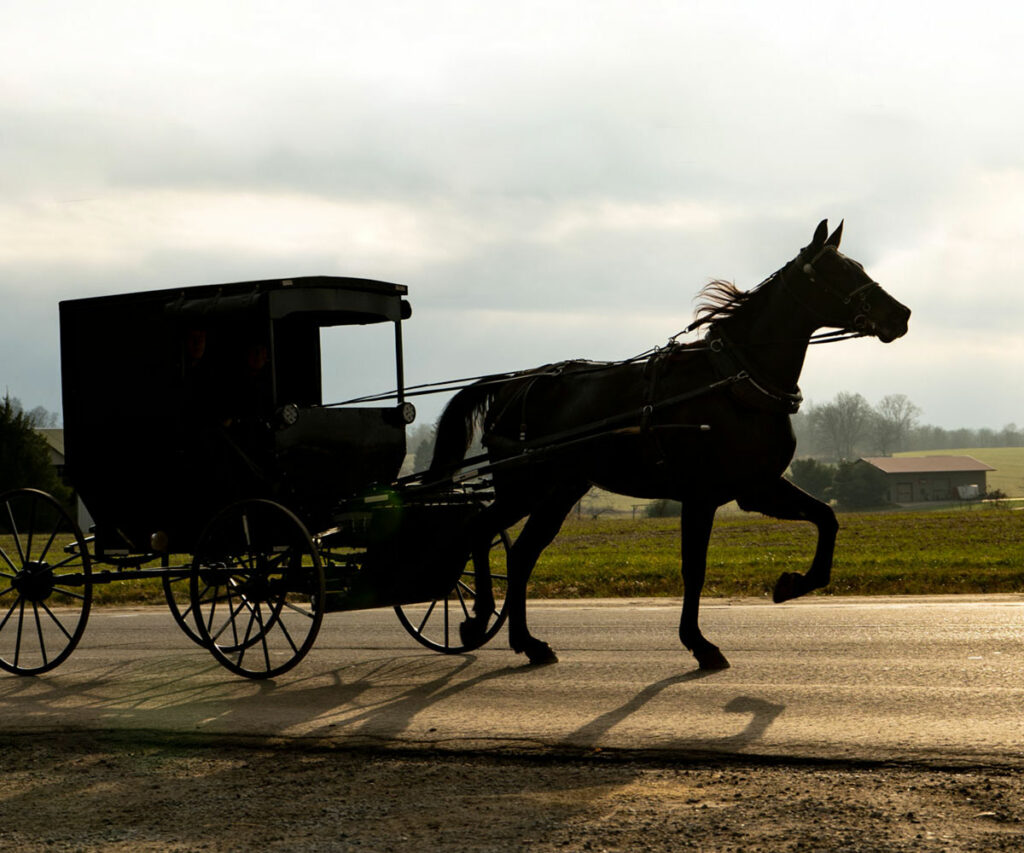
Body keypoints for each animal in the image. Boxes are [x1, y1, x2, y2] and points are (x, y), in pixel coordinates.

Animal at [428, 221, 909, 671]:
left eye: (857, 266)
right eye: (837, 271)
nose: (901, 314)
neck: (733, 381)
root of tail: (516, 383)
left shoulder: (757, 487)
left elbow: (826, 518)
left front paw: (791, 584)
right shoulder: (703, 496)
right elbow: (693, 569)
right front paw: (700, 644)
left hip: (561, 489)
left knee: (522, 552)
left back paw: (527, 642)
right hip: (525, 486)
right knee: (483, 531)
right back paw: (479, 619)